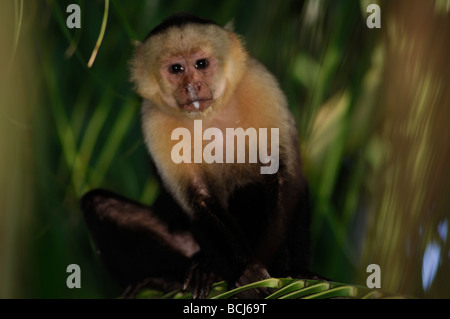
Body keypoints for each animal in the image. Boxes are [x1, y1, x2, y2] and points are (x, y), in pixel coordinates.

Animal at [81, 11, 312, 298]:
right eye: (176, 69)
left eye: (201, 64)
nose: (192, 86)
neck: (210, 114)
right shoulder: (154, 118)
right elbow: (198, 197)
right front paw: (246, 273)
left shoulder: (260, 84)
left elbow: (283, 176)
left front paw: (292, 273)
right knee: (98, 204)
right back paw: (175, 276)